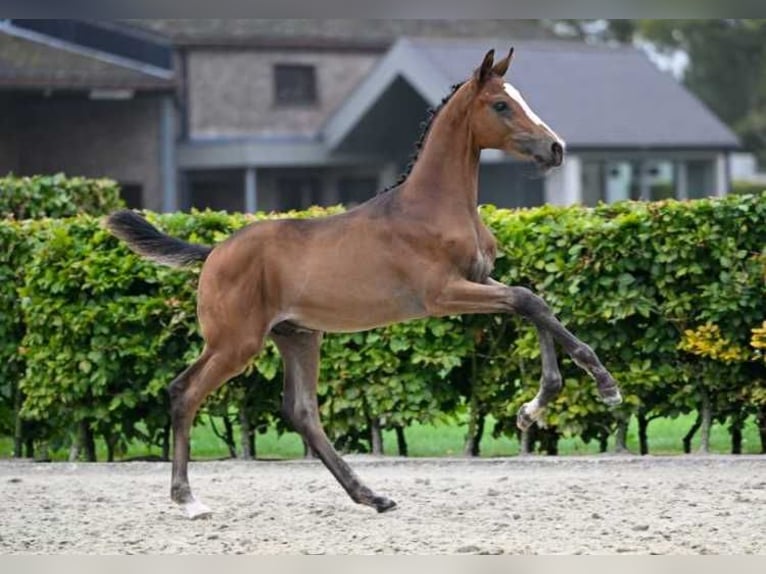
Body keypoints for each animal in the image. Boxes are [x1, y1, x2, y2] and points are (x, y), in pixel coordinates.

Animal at [108, 47, 624, 520]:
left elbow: (533, 304)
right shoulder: (442, 294)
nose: (555, 148)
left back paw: (371, 496)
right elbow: (527, 300)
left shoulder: (479, 279)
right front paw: (605, 384)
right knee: (185, 391)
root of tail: (213, 251)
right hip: (235, 342)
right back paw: (188, 499)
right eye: (500, 105)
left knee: (302, 412)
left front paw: (532, 408)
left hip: (298, 336)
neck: (432, 206)